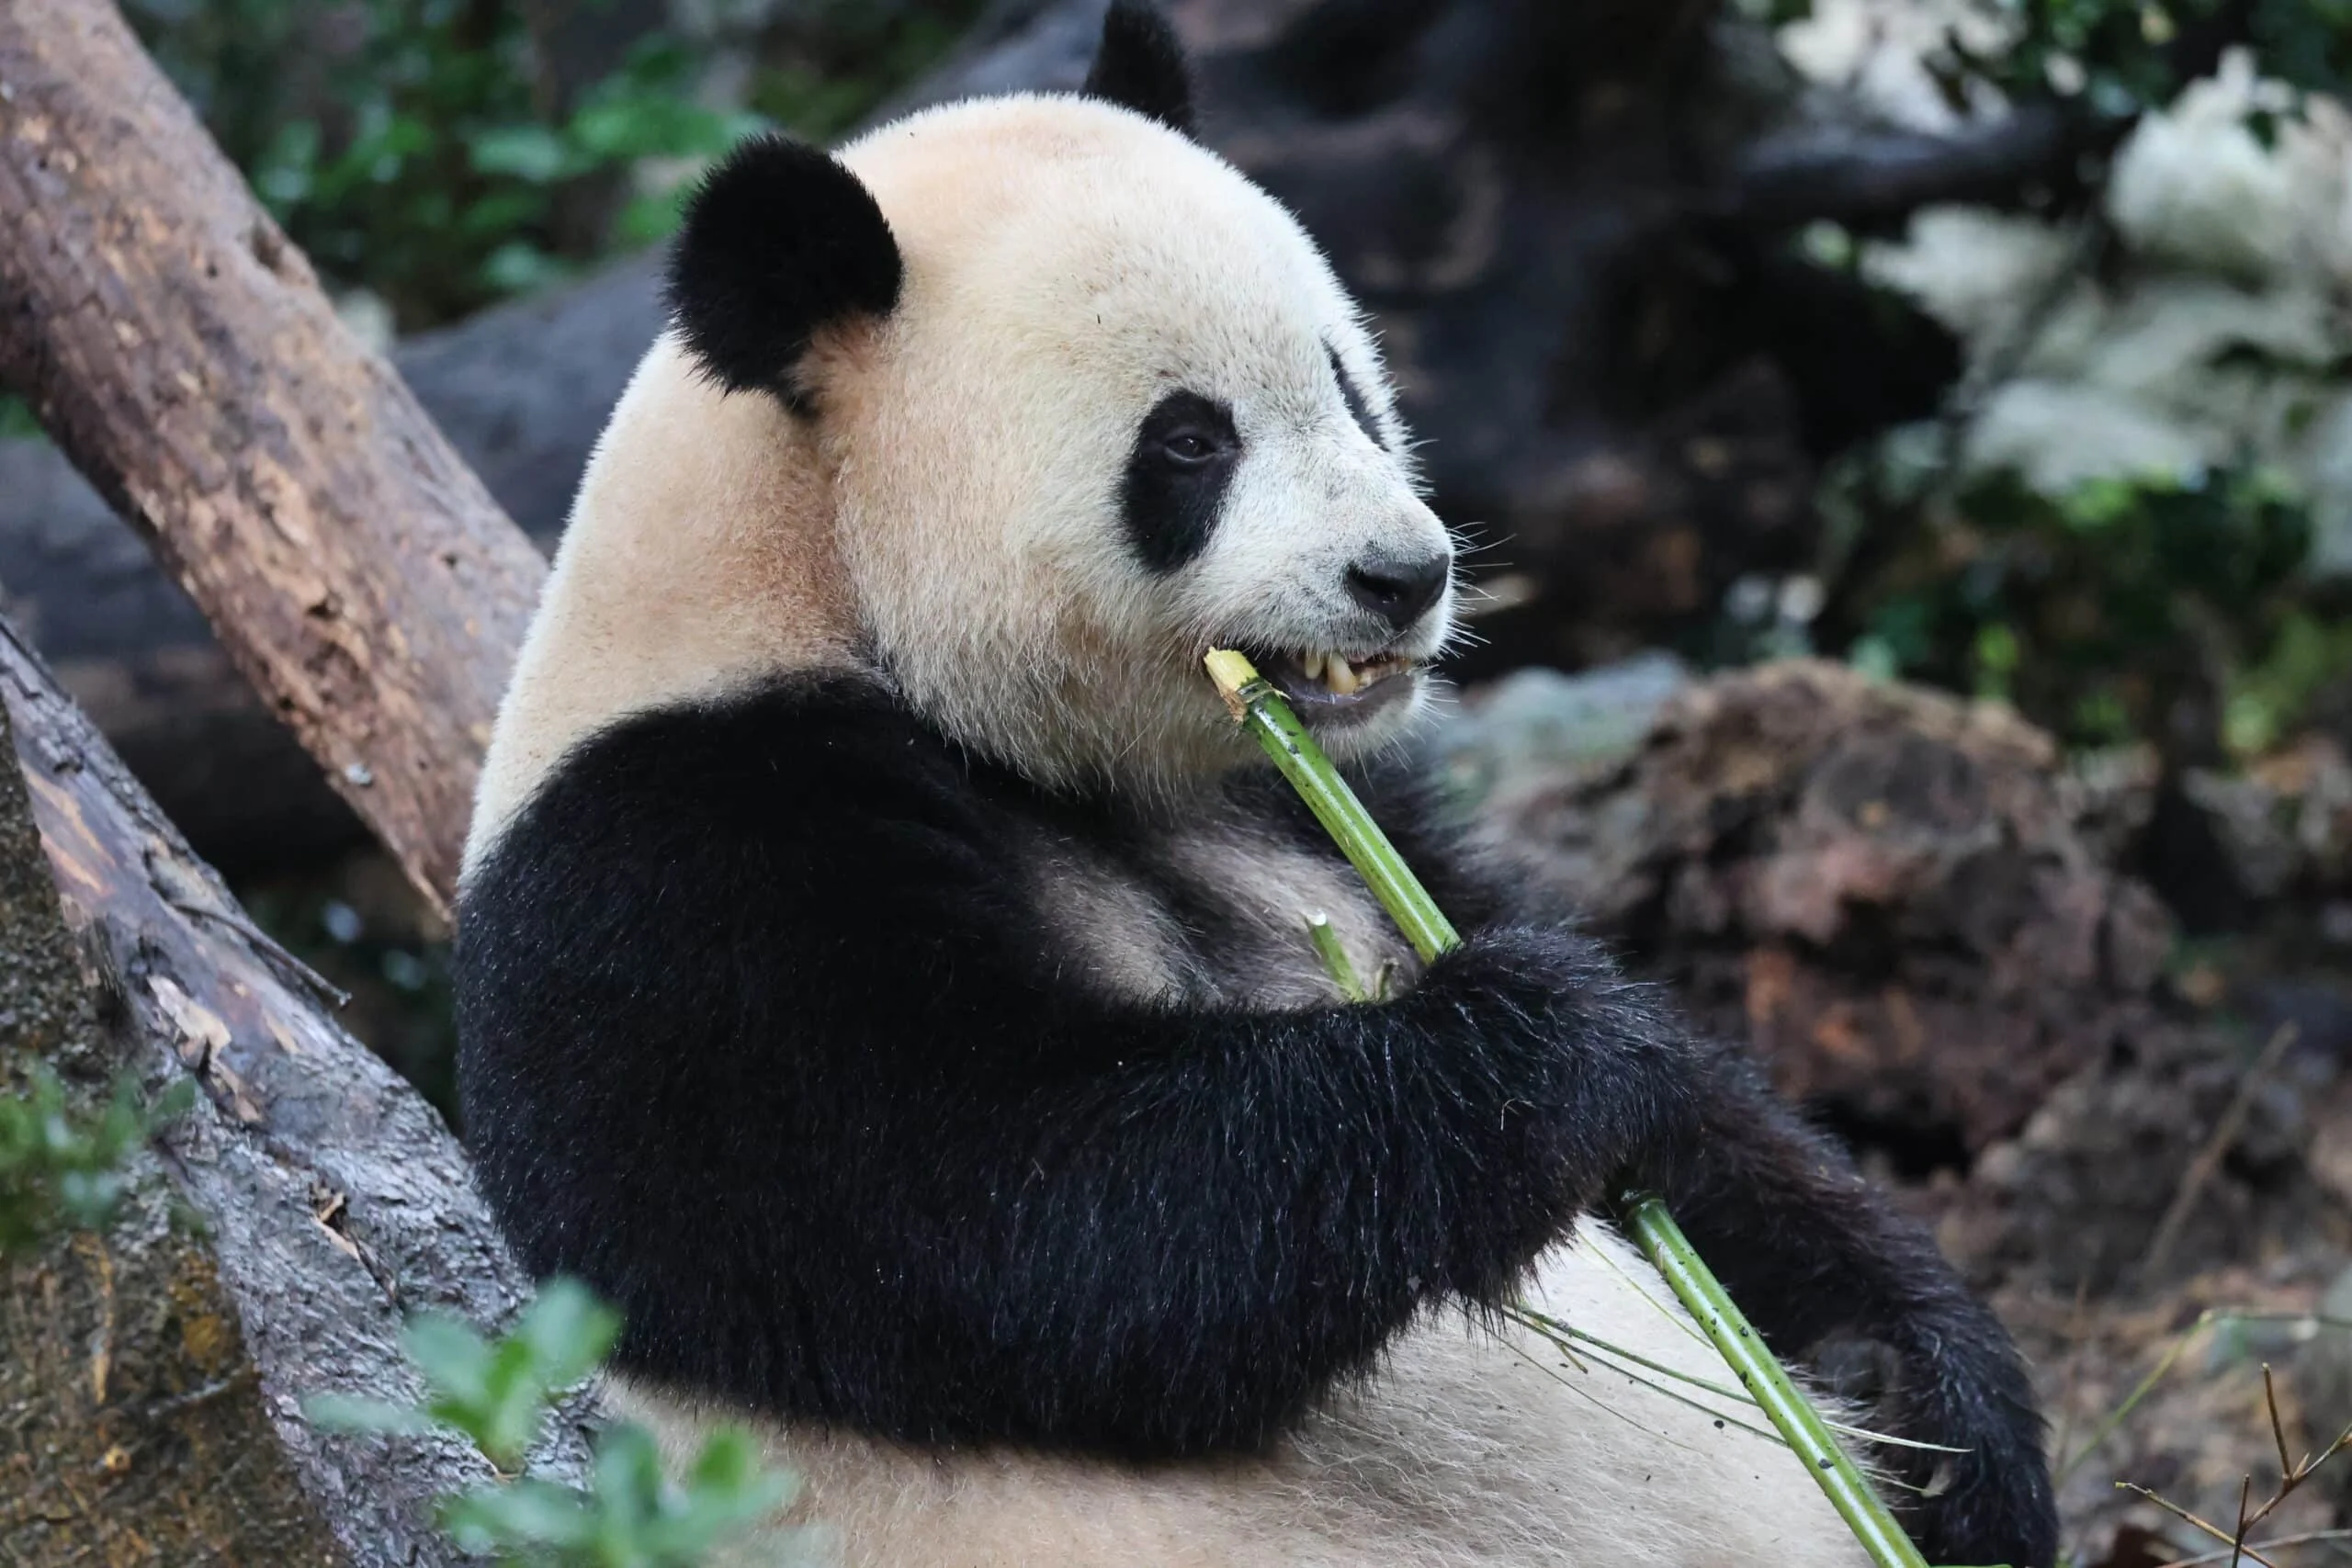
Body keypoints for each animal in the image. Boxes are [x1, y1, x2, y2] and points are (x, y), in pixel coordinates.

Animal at [452, 5, 2060, 1565]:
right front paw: (1554, 1043)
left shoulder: (1317, 804)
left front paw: (1943, 1400)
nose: (1404, 575)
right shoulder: (680, 859)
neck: (819, 586)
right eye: (1190, 439)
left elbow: (1728, 1148)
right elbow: (1026, 1215)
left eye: (1349, 381)